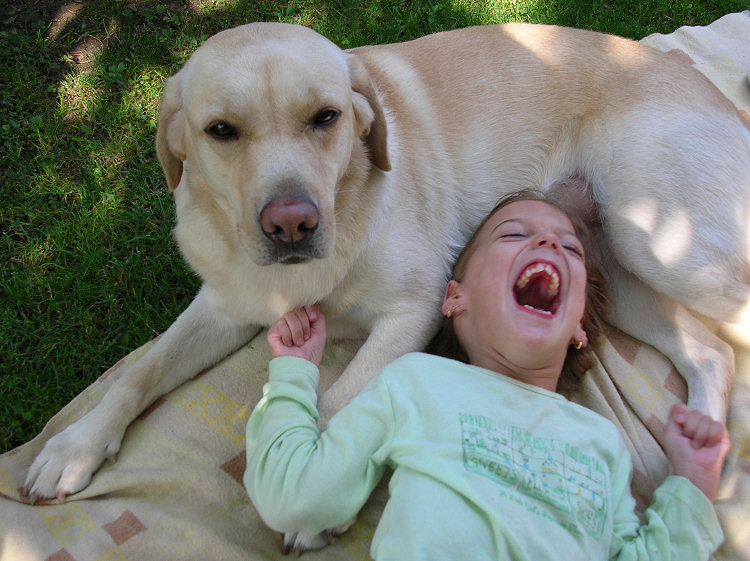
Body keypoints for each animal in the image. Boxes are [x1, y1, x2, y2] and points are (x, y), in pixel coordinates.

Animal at [26, 19, 748, 532]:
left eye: (326, 116)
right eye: (221, 130)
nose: (291, 223)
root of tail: (715, 95)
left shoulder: (415, 309)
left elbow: (342, 399)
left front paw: (315, 494)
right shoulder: (227, 302)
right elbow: (138, 371)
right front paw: (74, 447)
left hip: (664, 243)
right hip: (620, 267)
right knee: (709, 352)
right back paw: (701, 460)